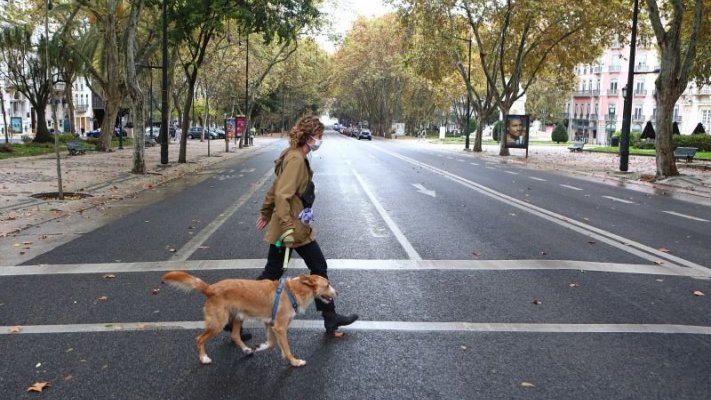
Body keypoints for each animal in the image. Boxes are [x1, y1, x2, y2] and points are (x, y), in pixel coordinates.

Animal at [163, 270, 338, 368]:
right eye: (327, 285)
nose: (337, 293)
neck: (292, 291)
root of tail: (210, 288)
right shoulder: (280, 327)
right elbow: (286, 348)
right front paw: (294, 362)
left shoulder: (270, 324)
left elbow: (272, 343)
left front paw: (259, 347)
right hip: (217, 324)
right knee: (199, 339)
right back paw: (203, 358)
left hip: (238, 317)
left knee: (234, 335)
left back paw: (247, 349)